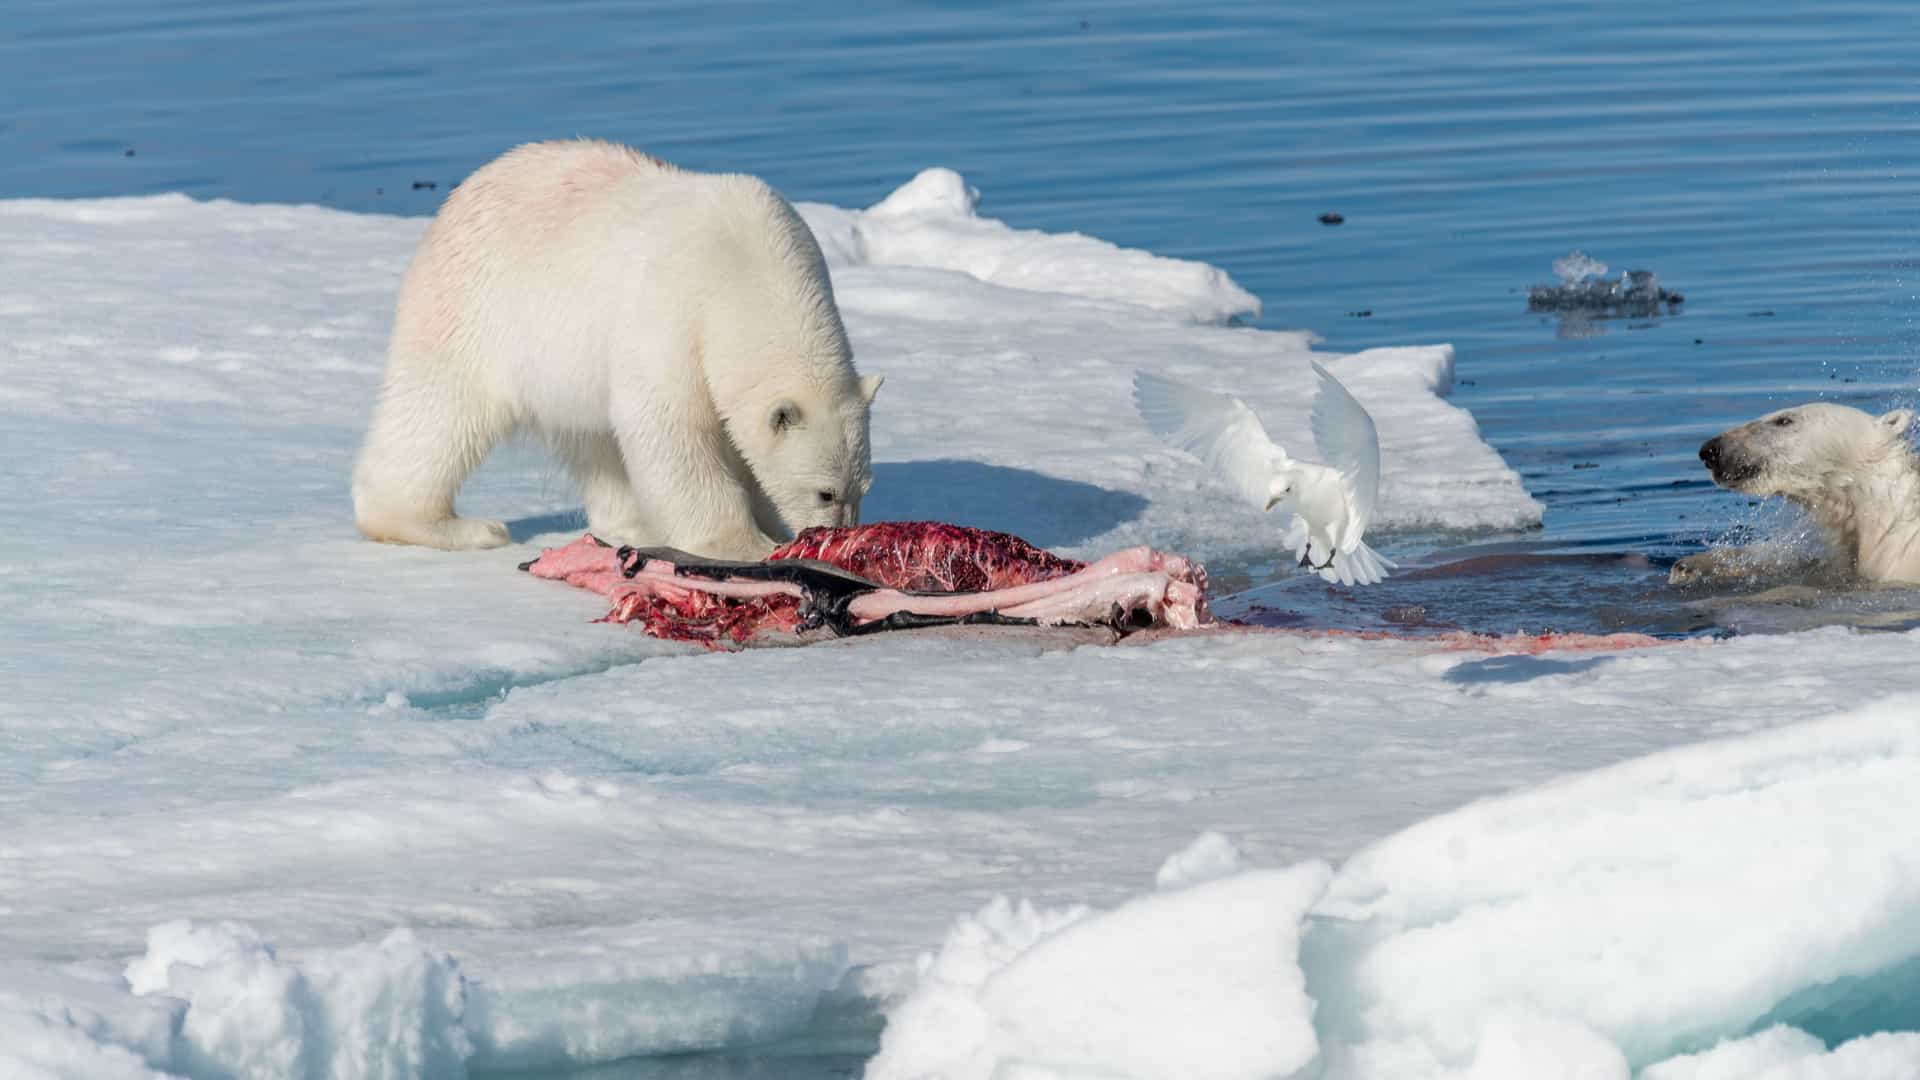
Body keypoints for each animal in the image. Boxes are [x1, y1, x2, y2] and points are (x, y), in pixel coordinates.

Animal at [352, 139, 883, 561]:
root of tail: (459, 196)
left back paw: (631, 527)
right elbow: (671, 429)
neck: (751, 266)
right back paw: (456, 526)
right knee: (440, 413)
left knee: (595, 442)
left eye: (863, 487)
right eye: (825, 493)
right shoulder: (672, 314)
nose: (841, 535)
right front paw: (746, 544)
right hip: (471, 308)